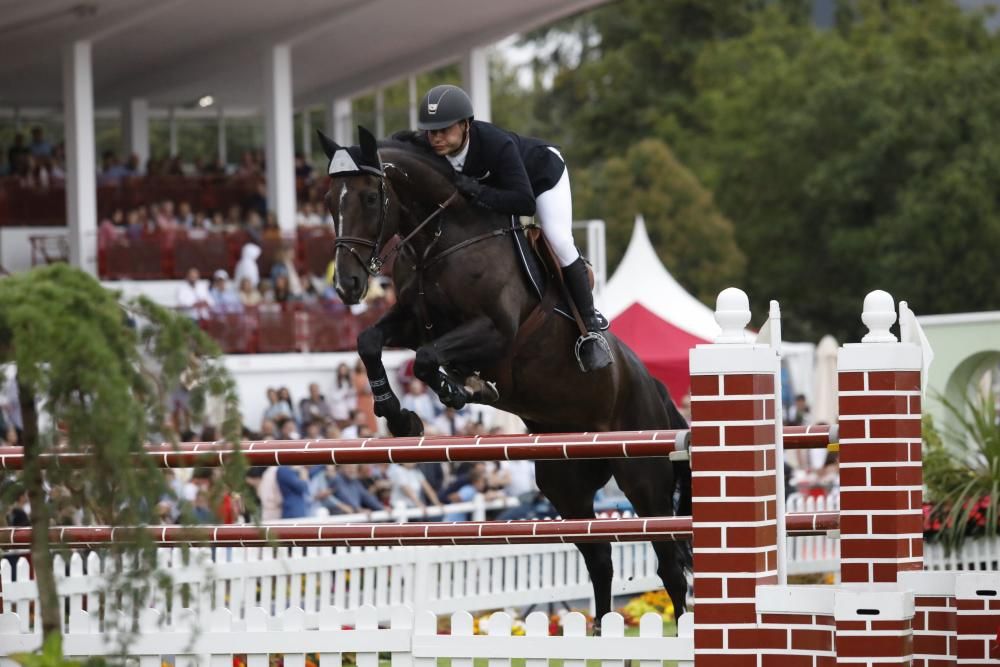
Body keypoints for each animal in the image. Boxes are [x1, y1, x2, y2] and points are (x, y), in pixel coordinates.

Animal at [322, 128, 696, 628]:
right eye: (330, 200)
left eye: (368, 196)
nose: (346, 285)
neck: (440, 239)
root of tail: (653, 387)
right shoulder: (413, 321)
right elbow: (369, 342)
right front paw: (398, 415)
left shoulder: (494, 331)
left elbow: (426, 360)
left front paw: (459, 387)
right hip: (565, 485)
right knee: (599, 560)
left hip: (643, 478)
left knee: (669, 566)